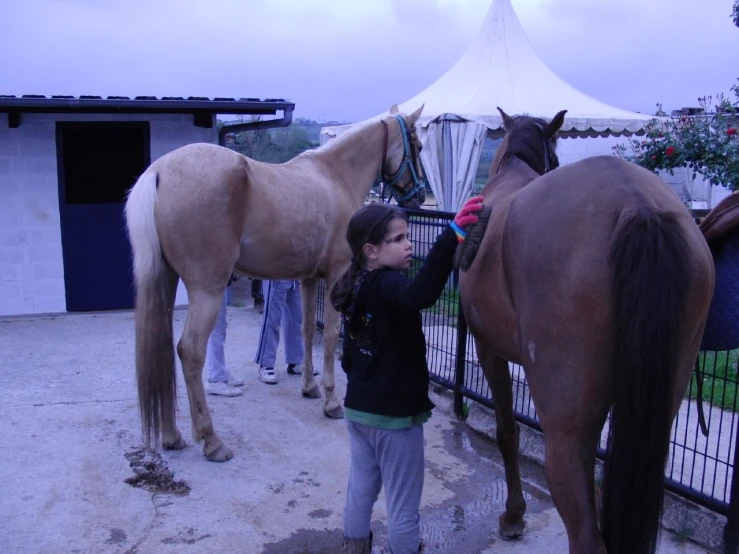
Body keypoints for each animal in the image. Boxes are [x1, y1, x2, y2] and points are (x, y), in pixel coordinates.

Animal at [124, 103, 428, 462]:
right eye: (418, 146)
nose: (419, 197)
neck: (335, 175)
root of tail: (159, 171)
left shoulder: (310, 280)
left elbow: (307, 331)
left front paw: (309, 388)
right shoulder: (337, 276)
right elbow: (331, 337)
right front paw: (331, 402)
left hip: (167, 282)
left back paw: (172, 436)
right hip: (206, 291)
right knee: (191, 352)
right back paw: (212, 441)